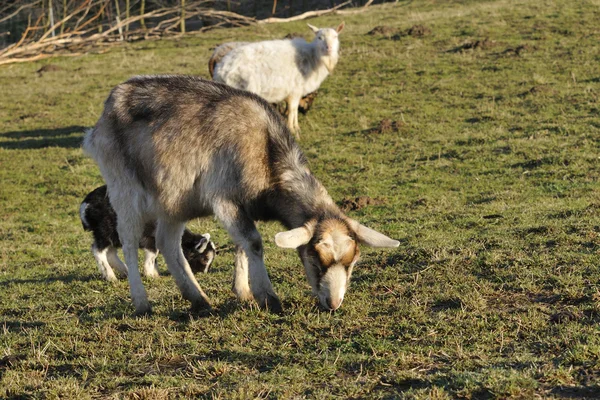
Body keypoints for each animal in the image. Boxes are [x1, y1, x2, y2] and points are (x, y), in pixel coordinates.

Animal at [79, 185, 216, 282]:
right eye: (204, 258)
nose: (203, 273)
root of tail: (86, 205)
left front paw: (155, 273)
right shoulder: (150, 239)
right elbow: (152, 255)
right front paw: (151, 275)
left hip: (114, 236)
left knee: (111, 253)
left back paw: (125, 271)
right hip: (105, 231)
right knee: (98, 251)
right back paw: (111, 277)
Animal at [213, 23, 344, 136]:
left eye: (335, 36)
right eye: (319, 37)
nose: (329, 48)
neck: (313, 58)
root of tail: (220, 70)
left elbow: (293, 109)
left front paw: (295, 127)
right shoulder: (295, 90)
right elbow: (292, 109)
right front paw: (293, 129)